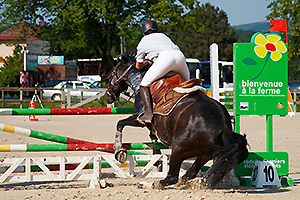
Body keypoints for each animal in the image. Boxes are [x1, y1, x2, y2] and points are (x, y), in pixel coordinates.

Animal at [105, 54, 248, 188]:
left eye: (111, 74)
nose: (108, 96)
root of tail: (223, 128)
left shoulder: (139, 118)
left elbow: (120, 124)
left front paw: (119, 151)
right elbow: (152, 138)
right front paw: (157, 160)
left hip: (179, 147)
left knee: (172, 177)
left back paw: (149, 184)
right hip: (205, 154)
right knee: (190, 174)